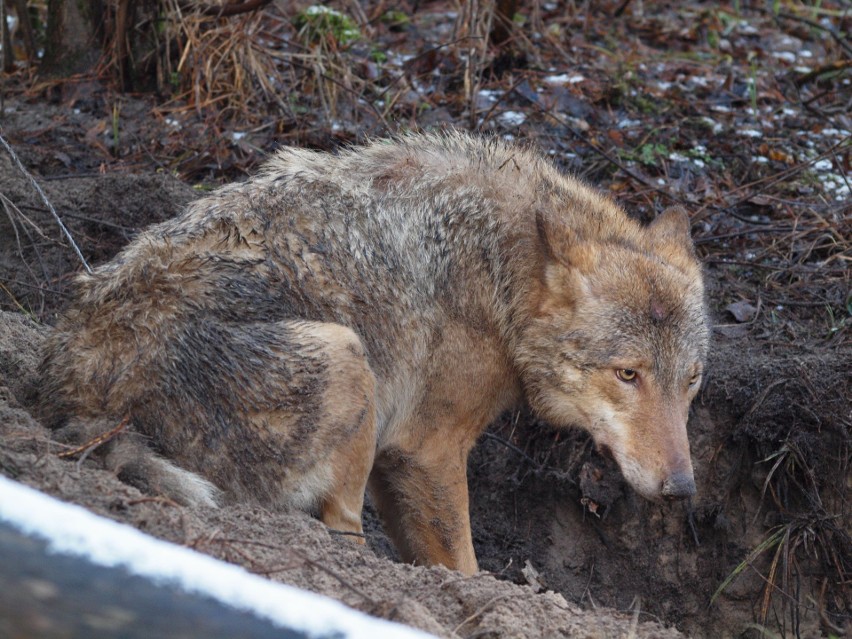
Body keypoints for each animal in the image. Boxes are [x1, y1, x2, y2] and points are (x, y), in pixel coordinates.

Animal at [38, 130, 704, 576]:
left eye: (691, 382)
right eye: (628, 374)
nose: (682, 489)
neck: (500, 268)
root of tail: (80, 399)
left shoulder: (396, 460)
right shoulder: (426, 448)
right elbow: (464, 565)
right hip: (348, 354)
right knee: (340, 532)